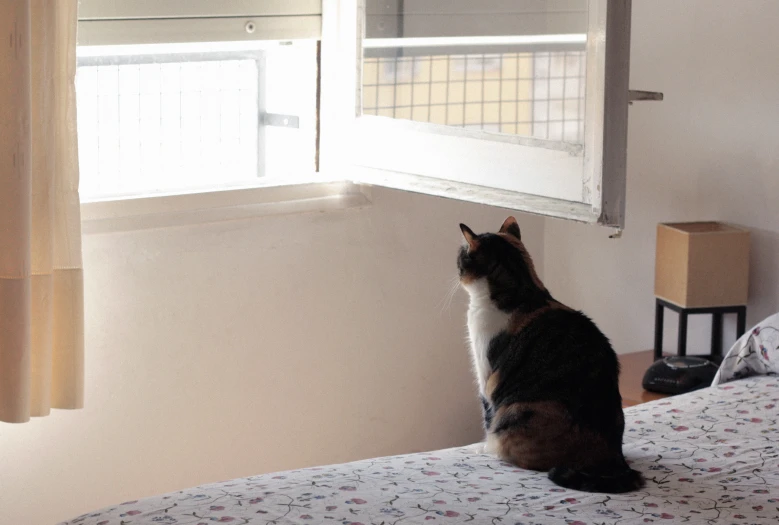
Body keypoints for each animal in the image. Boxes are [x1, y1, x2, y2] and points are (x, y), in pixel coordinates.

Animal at [458, 215, 644, 494]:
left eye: (460, 255)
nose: (456, 270)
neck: (522, 292)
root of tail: (614, 458)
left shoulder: (486, 378)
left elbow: (487, 419)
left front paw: (482, 447)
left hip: (516, 411)